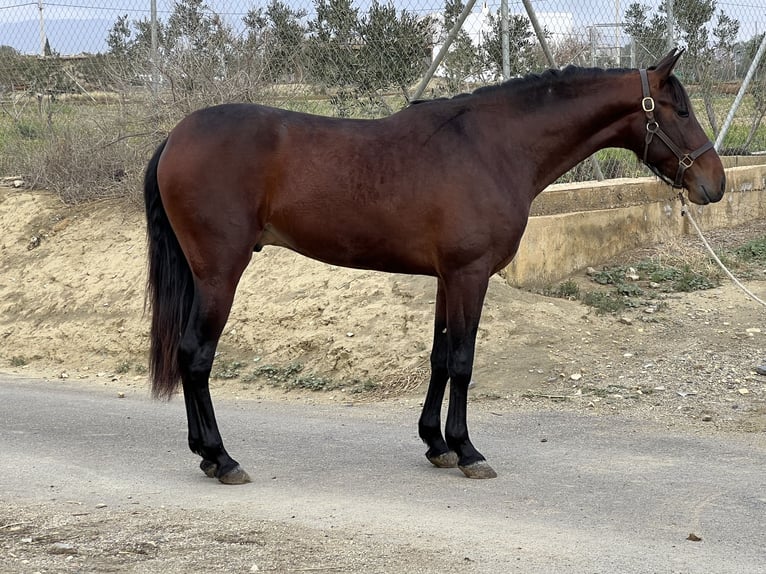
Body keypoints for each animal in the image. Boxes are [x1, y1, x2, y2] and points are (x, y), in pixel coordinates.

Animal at [142, 49, 728, 486]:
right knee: (196, 355)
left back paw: (205, 454)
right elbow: (464, 361)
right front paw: (467, 450)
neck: (492, 147)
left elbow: (440, 357)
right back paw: (221, 458)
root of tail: (175, 136)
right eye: (679, 110)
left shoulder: (449, 278)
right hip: (219, 273)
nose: (715, 184)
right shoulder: (470, 275)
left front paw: (436, 444)